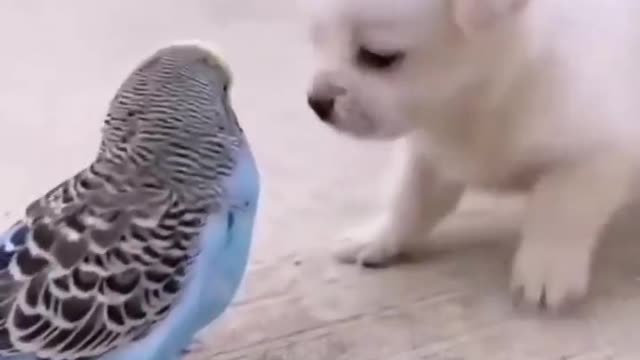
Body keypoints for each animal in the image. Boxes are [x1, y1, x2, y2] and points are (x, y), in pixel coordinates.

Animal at [302, 0, 640, 310]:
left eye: (378, 57)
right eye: (316, 40)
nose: (316, 103)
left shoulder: (597, 154)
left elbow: (558, 208)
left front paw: (546, 267)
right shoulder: (428, 151)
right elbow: (408, 199)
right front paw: (379, 237)